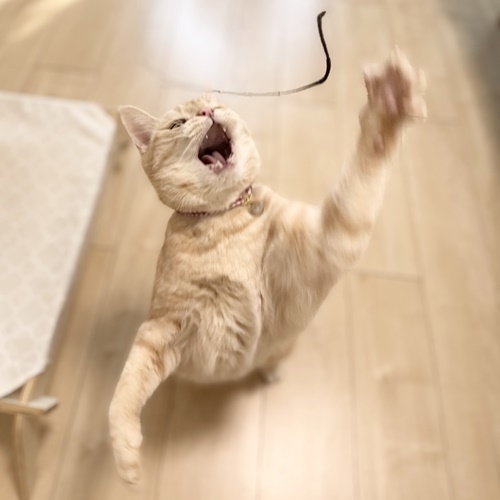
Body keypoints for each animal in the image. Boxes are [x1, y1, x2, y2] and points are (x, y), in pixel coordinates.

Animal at [109, 47, 426, 484]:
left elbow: (367, 163)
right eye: (178, 123)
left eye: (217, 105)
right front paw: (125, 452)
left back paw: (270, 370)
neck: (226, 216)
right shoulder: (163, 326)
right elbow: (127, 385)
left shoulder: (330, 238)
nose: (208, 109)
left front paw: (390, 101)